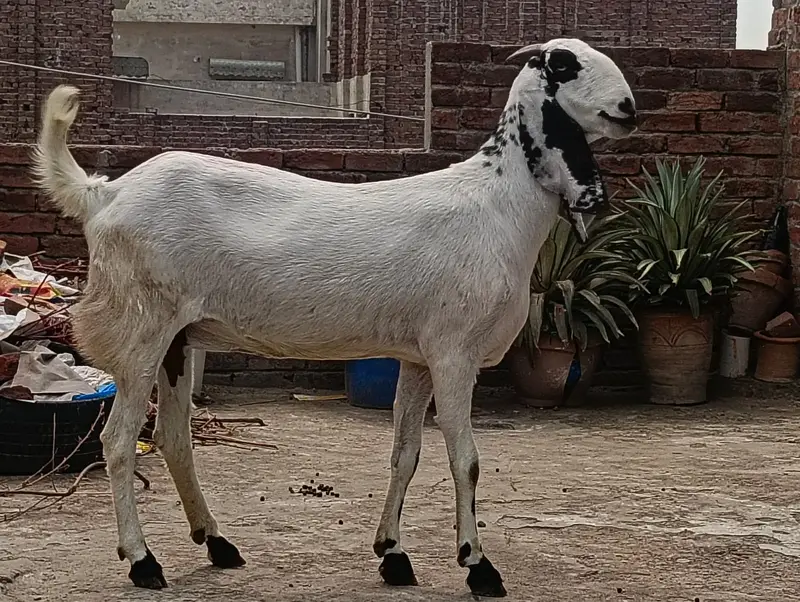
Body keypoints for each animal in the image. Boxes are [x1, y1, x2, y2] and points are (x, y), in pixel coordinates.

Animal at [33, 38, 636, 597]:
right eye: (565, 64)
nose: (628, 107)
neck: (497, 203)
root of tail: (103, 194)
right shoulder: (454, 353)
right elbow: (466, 460)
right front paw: (478, 566)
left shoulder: (418, 358)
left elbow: (405, 454)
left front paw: (392, 554)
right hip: (139, 328)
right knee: (118, 441)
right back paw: (142, 561)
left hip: (177, 338)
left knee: (173, 438)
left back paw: (217, 543)